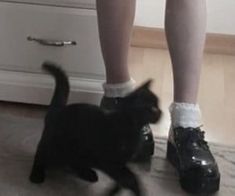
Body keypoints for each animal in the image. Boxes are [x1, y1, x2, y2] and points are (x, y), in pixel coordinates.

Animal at [29, 62, 161, 196]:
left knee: (73, 162)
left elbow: (122, 181)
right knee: (41, 155)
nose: (161, 113)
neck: (130, 126)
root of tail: (58, 110)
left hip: (78, 152)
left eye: (158, 105)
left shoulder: (121, 163)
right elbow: (130, 177)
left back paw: (87, 173)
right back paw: (36, 175)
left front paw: (112, 192)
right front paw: (136, 189)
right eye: (152, 108)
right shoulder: (110, 161)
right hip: (56, 148)